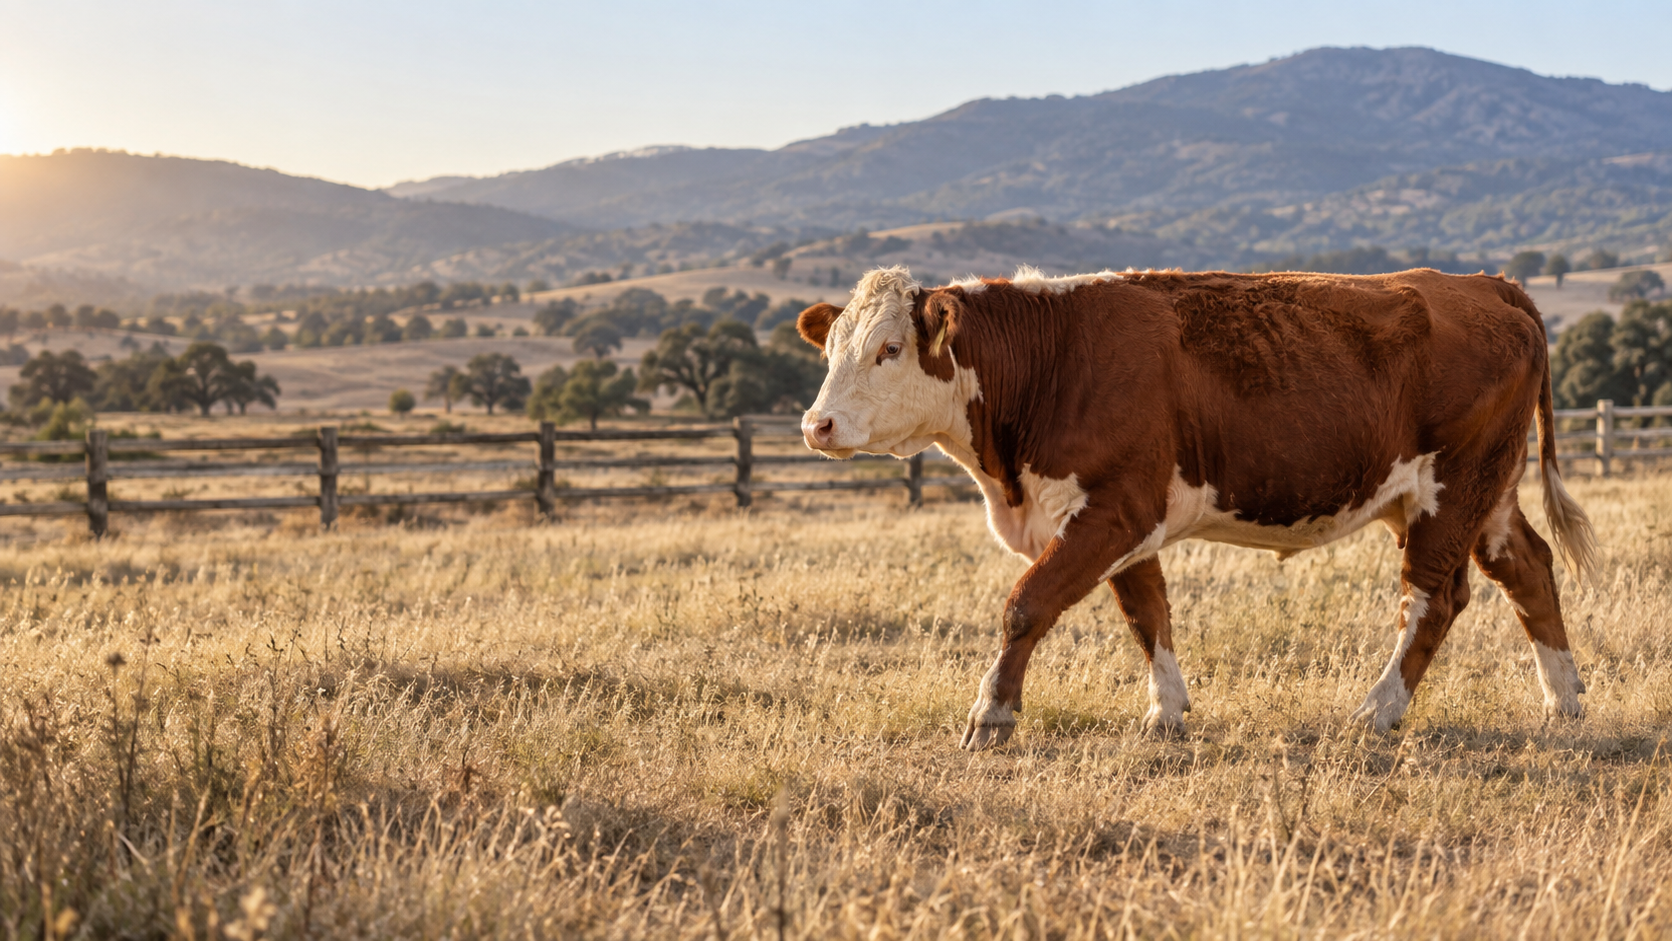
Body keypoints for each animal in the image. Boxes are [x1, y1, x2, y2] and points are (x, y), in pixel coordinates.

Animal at [796, 265, 1596, 750]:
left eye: (889, 348)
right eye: (831, 349)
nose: (816, 424)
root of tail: (1485, 283)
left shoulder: (1114, 507)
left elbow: (1027, 603)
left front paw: (991, 715)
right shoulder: (1122, 521)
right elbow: (1147, 612)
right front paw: (1167, 712)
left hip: (1452, 486)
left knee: (1433, 598)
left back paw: (1378, 711)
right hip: (1483, 493)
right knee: (1528, 570)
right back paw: (1564, 701)